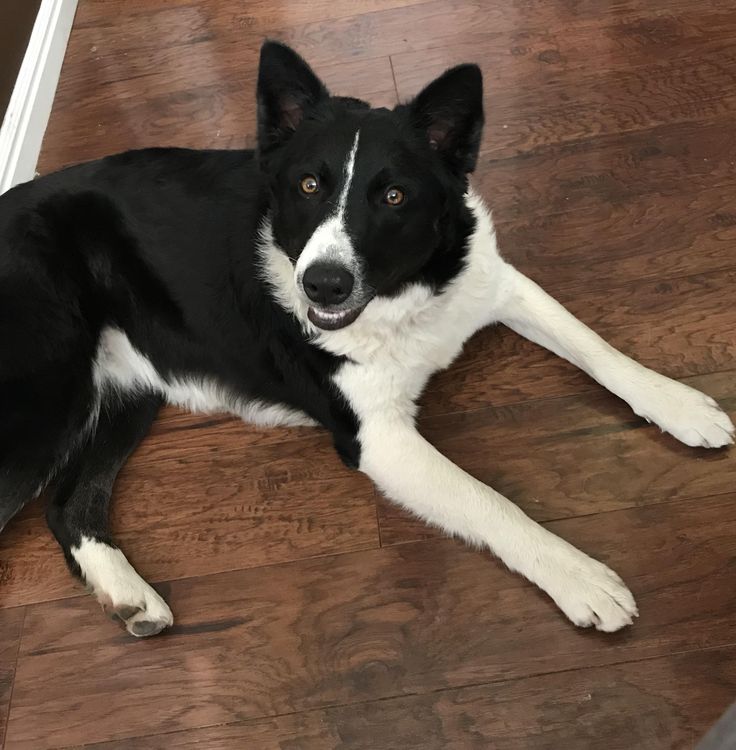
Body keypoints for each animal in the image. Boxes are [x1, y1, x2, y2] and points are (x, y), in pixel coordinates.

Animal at [0, 42, 732, 640]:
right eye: (308, 185)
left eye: (395, 196)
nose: (322, 286)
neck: (403, 297)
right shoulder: (379, 438)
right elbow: (489, 501)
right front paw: (576, 574)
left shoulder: (492, 282)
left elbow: (595, 346)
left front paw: (679, 404)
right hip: (47, 401)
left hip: (123, 389)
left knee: (68, 508)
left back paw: (129, 595)